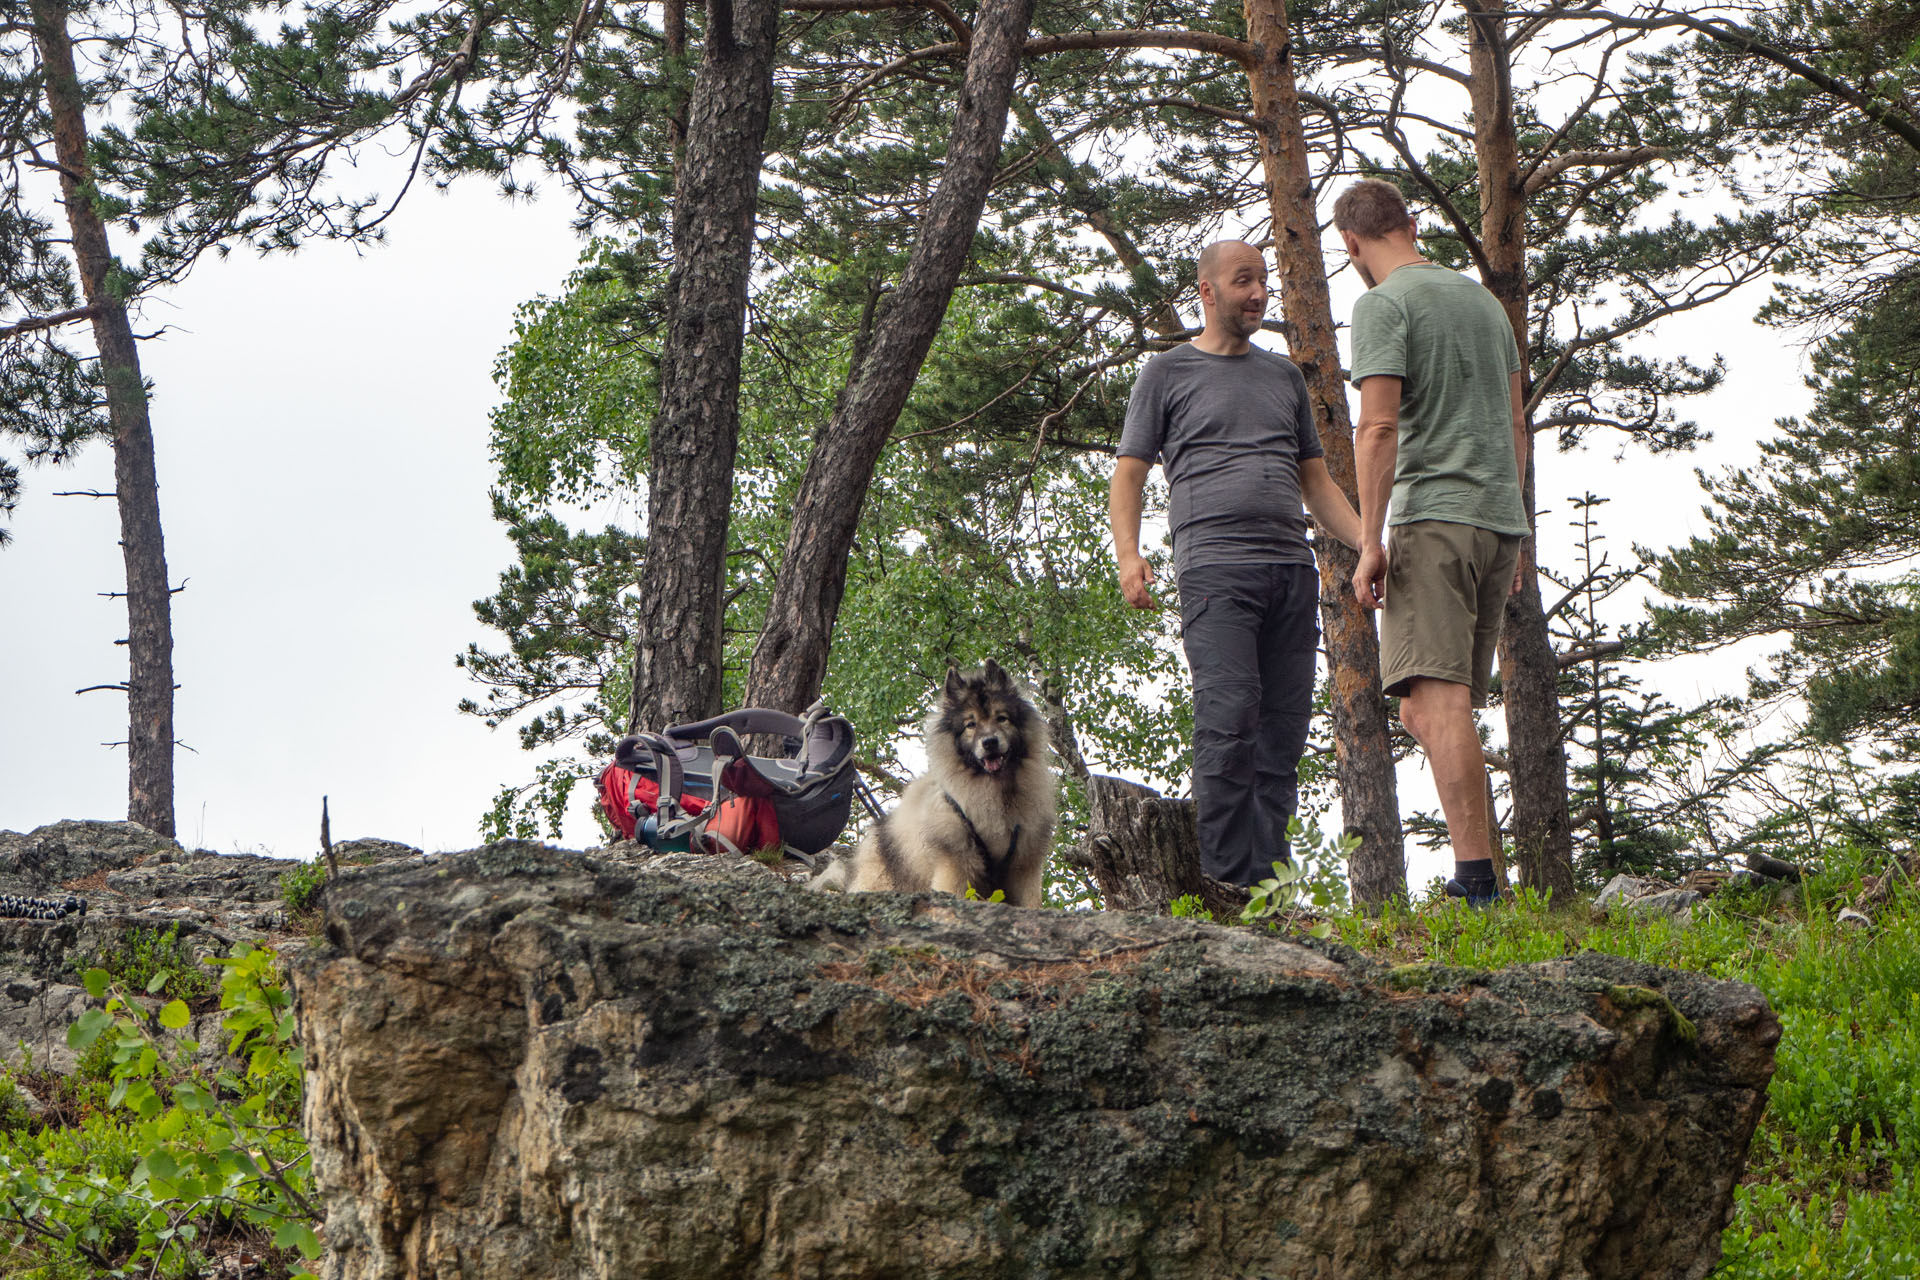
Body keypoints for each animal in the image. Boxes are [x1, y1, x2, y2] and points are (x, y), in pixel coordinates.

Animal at [806, 667, 1059, 905]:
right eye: (970, 724)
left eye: (1002, 718)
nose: (989, 742)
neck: (996, 789)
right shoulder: (955, 861)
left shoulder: (1024, 866)